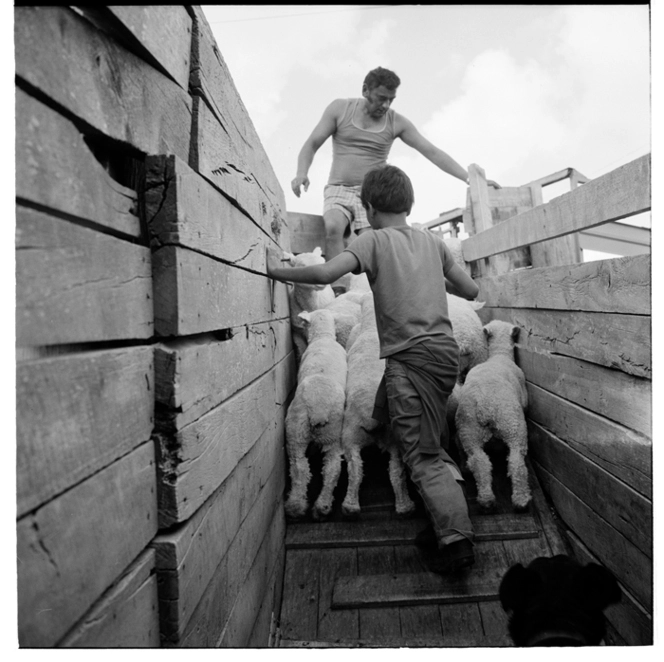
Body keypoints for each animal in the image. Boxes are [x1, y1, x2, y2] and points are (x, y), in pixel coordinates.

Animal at [284, 308, 348, 520]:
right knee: (322, 469)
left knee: (305, 468)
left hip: (299, 431)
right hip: (323, 433)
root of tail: (318, 410)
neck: (323, 336)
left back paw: (304, 506)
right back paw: (312, 507)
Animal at [342, 294, 416, 520]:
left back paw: (350, 507)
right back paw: (405, 507)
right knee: (396, 472)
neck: (370, 326)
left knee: (355, 470)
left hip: (350, 436)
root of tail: (371, 418)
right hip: (395, 438)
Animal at [454, 322, 532, 512]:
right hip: (514, 425)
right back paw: (521, 500)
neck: (499, 354)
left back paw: (487, 500)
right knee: (517, 462)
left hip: (469, 430)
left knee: (480, 462)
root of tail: (485, 404)